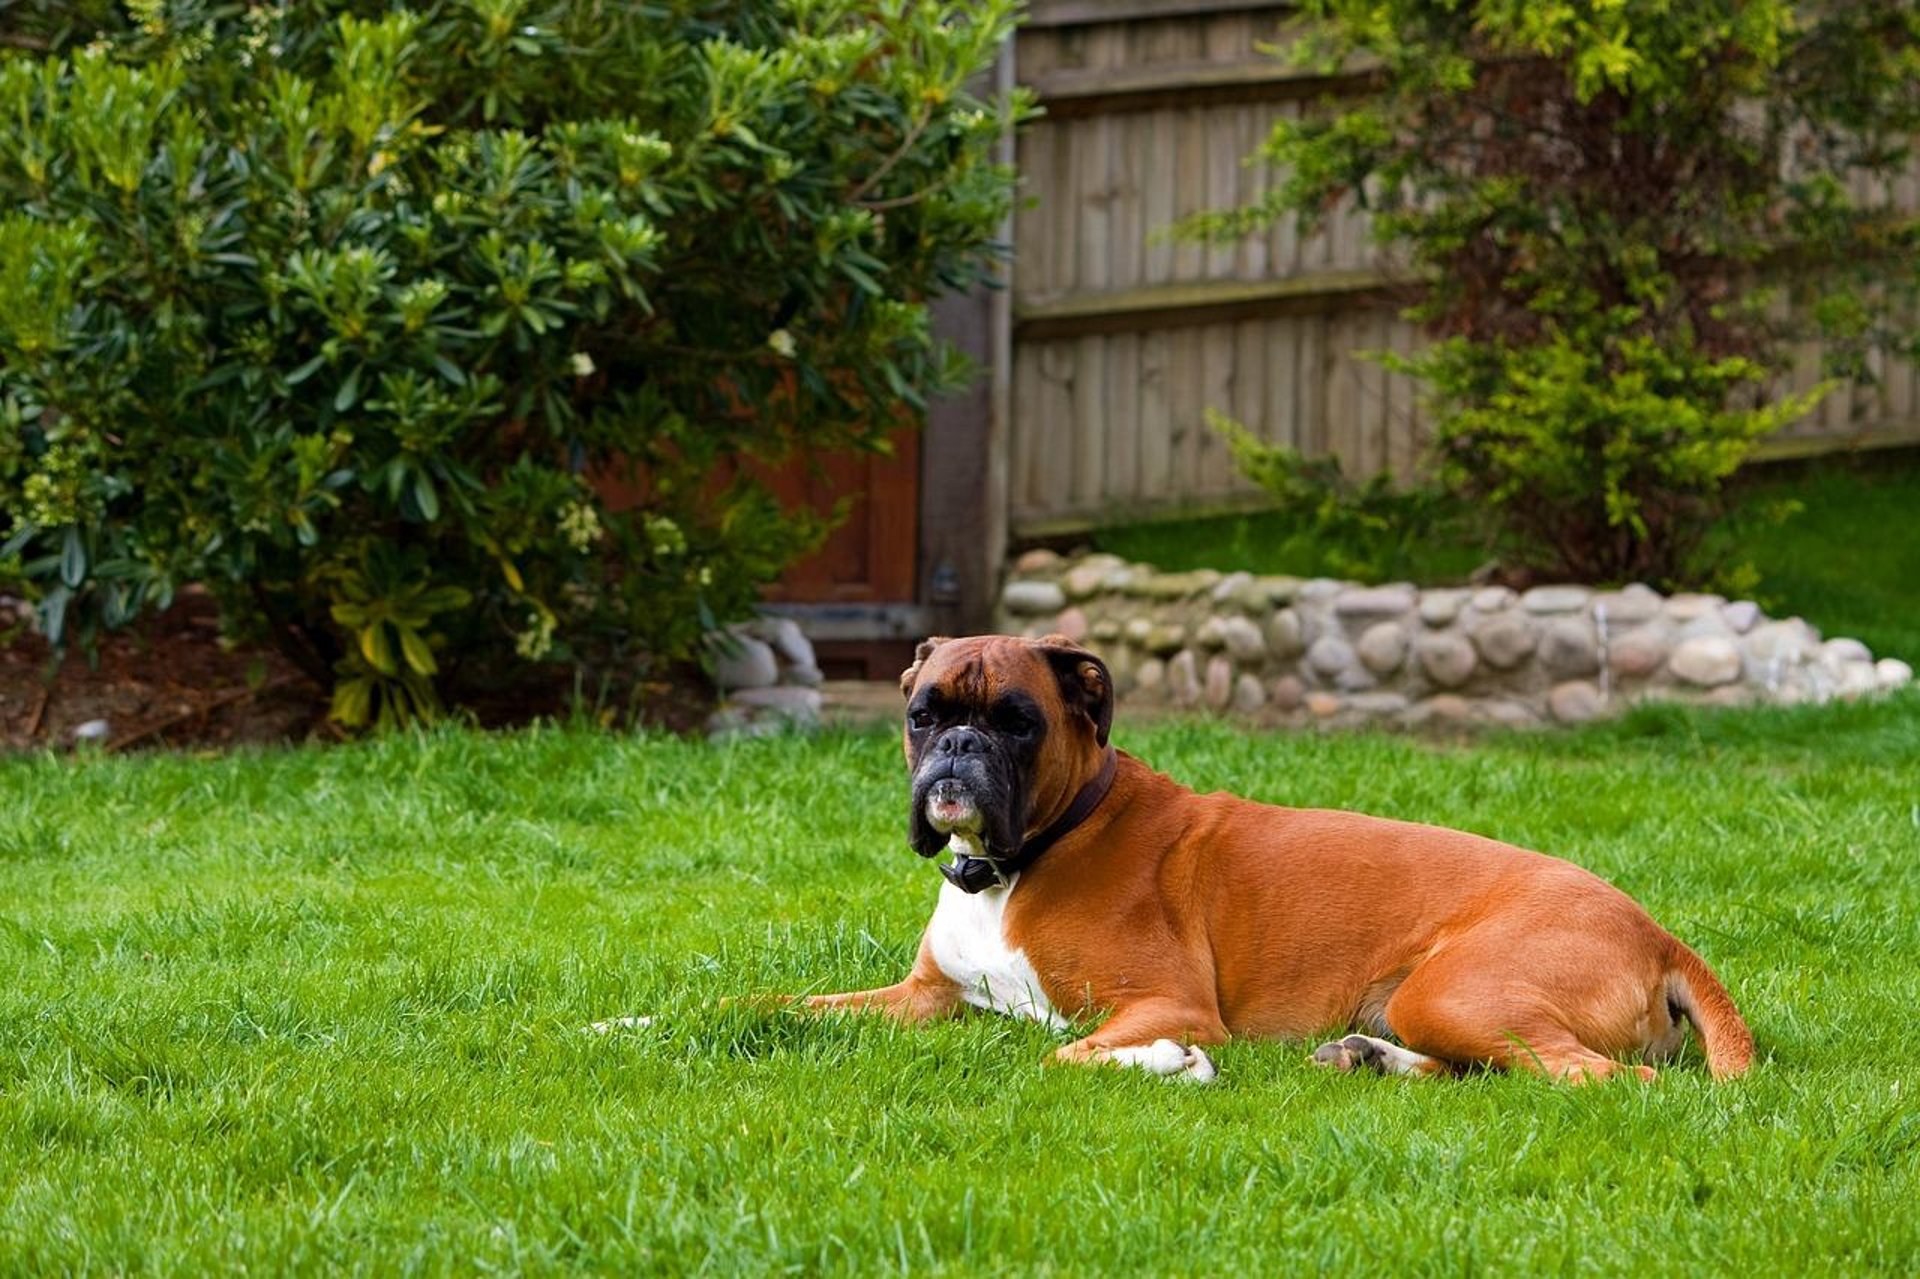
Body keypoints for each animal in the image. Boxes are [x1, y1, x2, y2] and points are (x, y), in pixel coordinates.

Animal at [794, 633, 1758, 1083]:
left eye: (1017, 721)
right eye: (923, 712)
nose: (958, 745)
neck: (1024, 858)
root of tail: (1658, 931)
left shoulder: (1167, 1003)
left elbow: (1060, 1054)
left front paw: (1171, 1064)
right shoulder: (925, 996)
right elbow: (797, 1007)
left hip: (1452, 991)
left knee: (1601, 1077)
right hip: (1431, 1005)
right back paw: (1370, 1058)